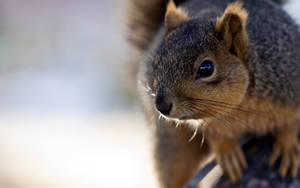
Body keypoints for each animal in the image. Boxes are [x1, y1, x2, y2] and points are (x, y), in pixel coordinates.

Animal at [125, 0, 300, 187]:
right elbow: (213, 134)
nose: (161, 106)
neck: (239, 108)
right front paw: (226, 150)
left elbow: (292, 121)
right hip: (173, 144)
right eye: (156, 63)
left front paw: (288, 144)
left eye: (206, 68)